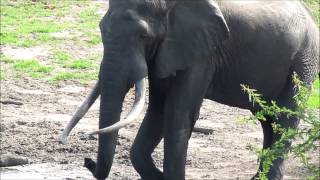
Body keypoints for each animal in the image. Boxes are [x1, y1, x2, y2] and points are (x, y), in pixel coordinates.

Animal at [58, 0, 318, 179]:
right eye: (101, 28)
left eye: (143, 35)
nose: (87, 161)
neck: (170, 5)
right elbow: (158, 110)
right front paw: (159, 176)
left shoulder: (203, 52)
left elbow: (178, 112)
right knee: (268, 121)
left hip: (303, 62)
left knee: (285, 117)